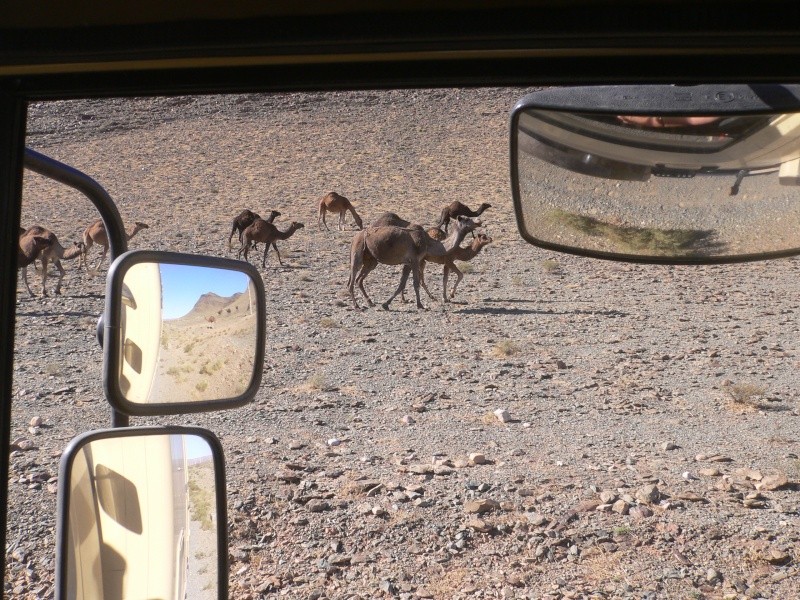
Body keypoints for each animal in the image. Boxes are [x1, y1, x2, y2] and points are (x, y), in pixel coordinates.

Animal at [348, 214, 482, 310]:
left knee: (359, 279)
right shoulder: (414, 261)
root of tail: (355, 236)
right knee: (351, 279)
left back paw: (370, 302)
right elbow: (415, 283)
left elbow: (402, 284)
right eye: (467, 219)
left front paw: (386, 304)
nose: (479, 221)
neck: (428, 242)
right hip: (358, 251)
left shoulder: (408, 263)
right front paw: (420, 305)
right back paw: (356, 306)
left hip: (371, 260)